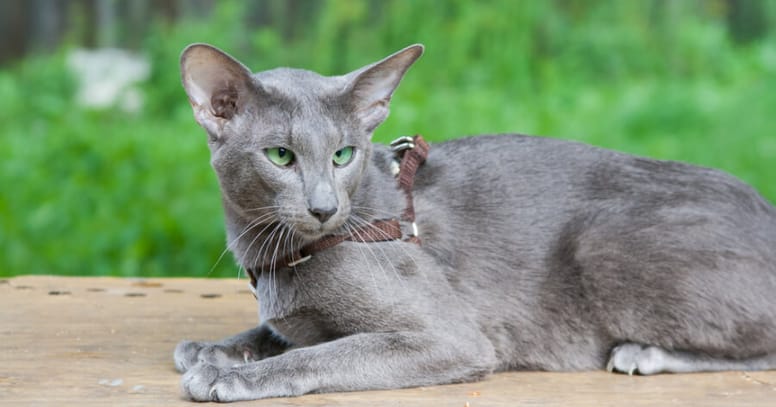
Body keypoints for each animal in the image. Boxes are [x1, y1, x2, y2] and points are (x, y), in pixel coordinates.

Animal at [173, 43, 776, 402]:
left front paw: (230, 375)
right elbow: (278, 332)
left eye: (343, 155)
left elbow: (321, 353)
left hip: (602, 244)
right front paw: (213, 348)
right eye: (280, 156)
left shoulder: (450, 337)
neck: (280, 256)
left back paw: (643, 353)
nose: (324, 208)